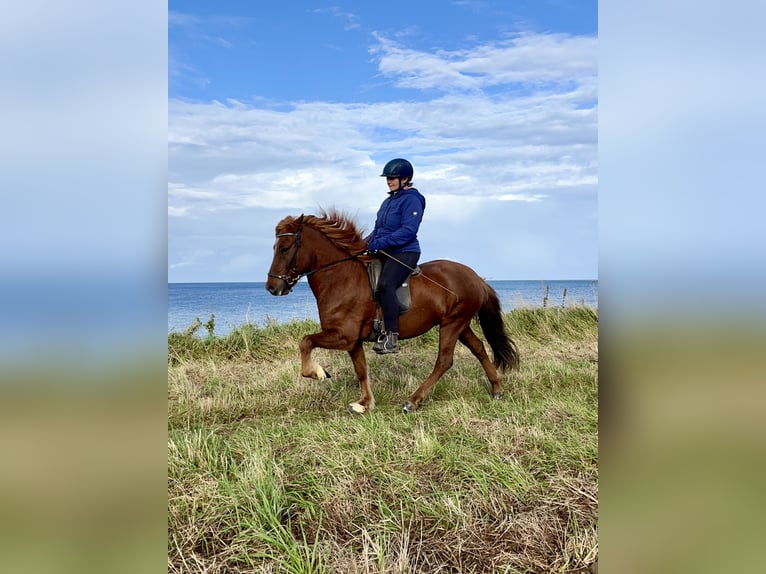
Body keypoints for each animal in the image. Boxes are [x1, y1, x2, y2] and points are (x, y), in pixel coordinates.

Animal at [265, 209, 519, 414]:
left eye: (285, 249)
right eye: (275, 248)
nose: (271, 287)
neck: (341, 278)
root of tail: (476, 277)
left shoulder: (344, 336)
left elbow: (306, 341)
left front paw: (317, 372)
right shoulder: (353, 341)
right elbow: (361, 370)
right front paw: (365, 403)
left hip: (452, 324)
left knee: (444, 361)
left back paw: (413, 401)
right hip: (459, 324)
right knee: (479, 349)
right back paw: (497, 389)